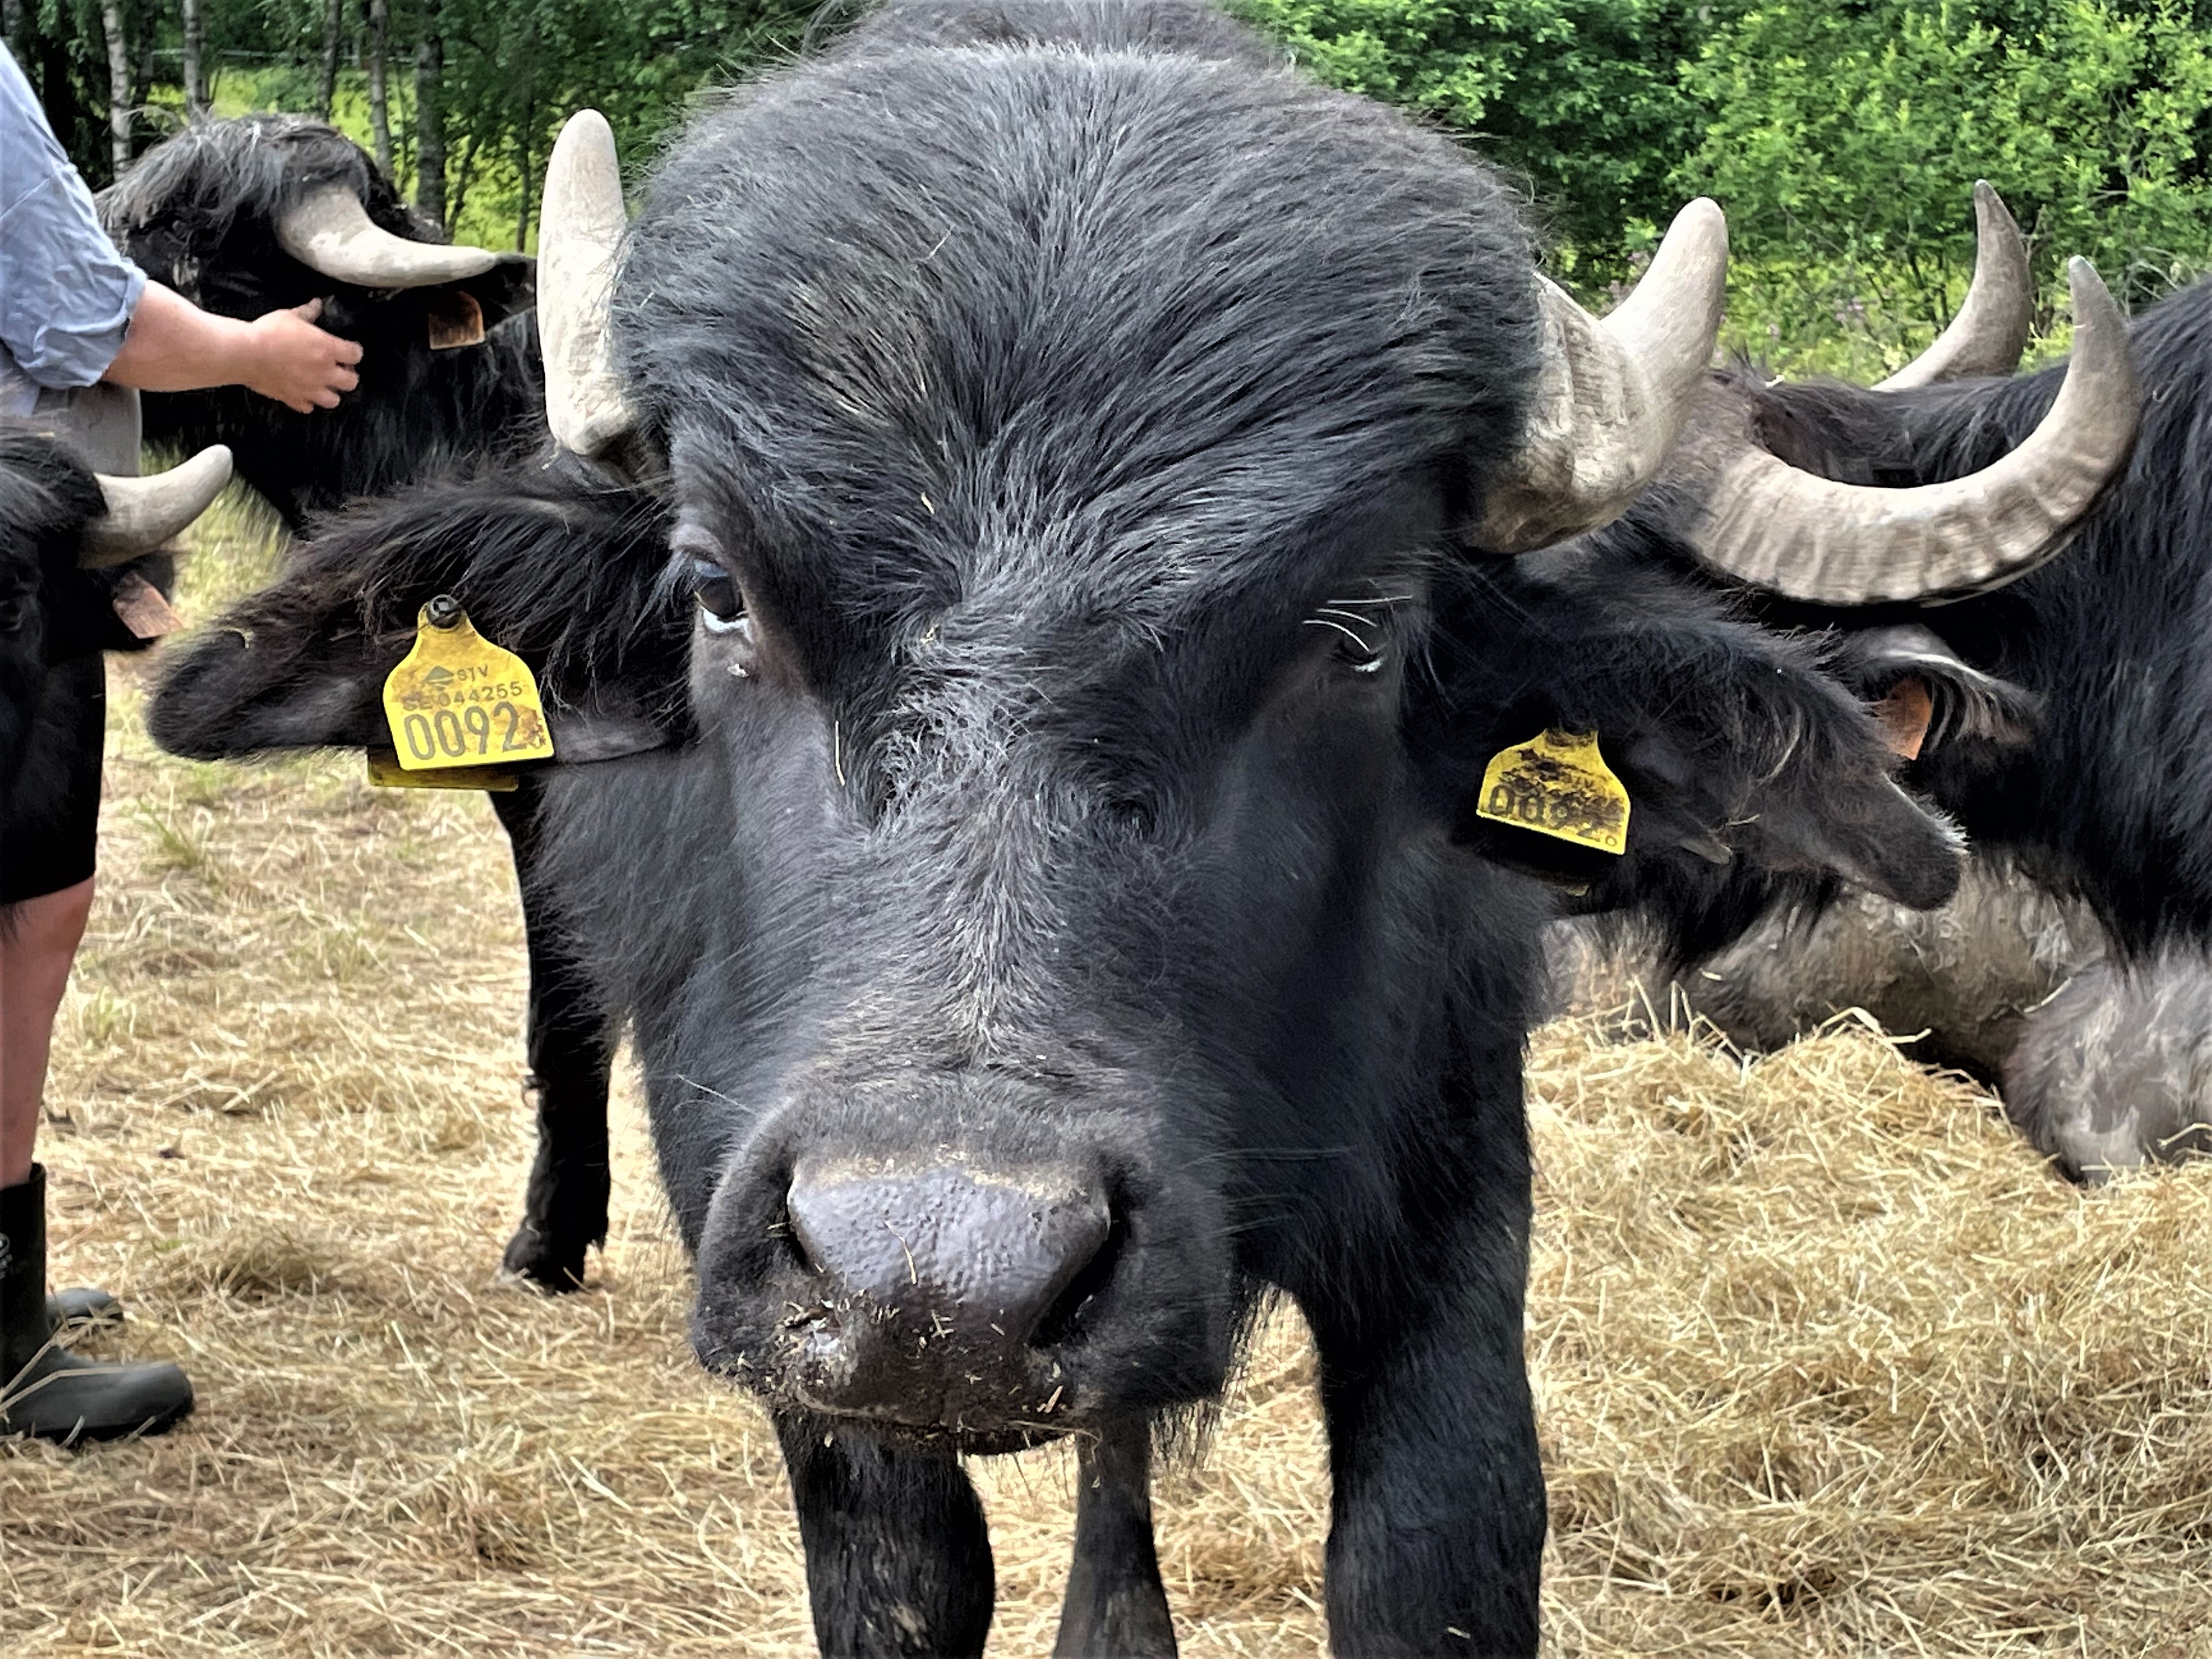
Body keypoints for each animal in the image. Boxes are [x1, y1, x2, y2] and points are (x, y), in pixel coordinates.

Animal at [138, 0, 2141, 1654]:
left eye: (1360, 631)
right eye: (717, 591)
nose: (943, 1283)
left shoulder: (1446, 1170)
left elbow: (1437, 1553)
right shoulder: (773, 1257)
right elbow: (906, 1576)